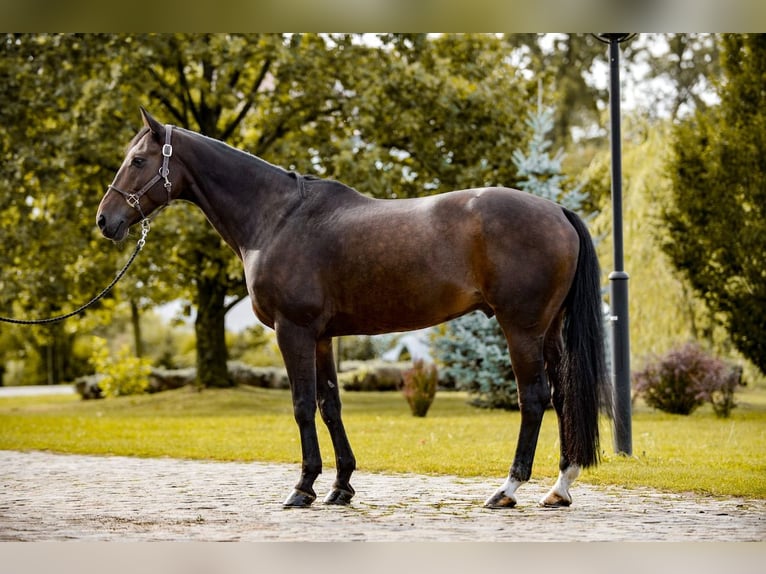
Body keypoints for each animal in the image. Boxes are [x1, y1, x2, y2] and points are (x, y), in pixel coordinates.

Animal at [97, 108, 612, 509]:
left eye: (137, 160)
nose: (106, 220)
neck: (277, 218)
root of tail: (557, 210)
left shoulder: (293, 330)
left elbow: (302, 404)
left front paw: (303, 487)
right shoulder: (322, 336)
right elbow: (330, 405)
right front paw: (340, 486)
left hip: (521, 327)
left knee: (534, 398)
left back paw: (508, 489)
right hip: (548, 329)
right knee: (562, 395)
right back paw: (559, 488)